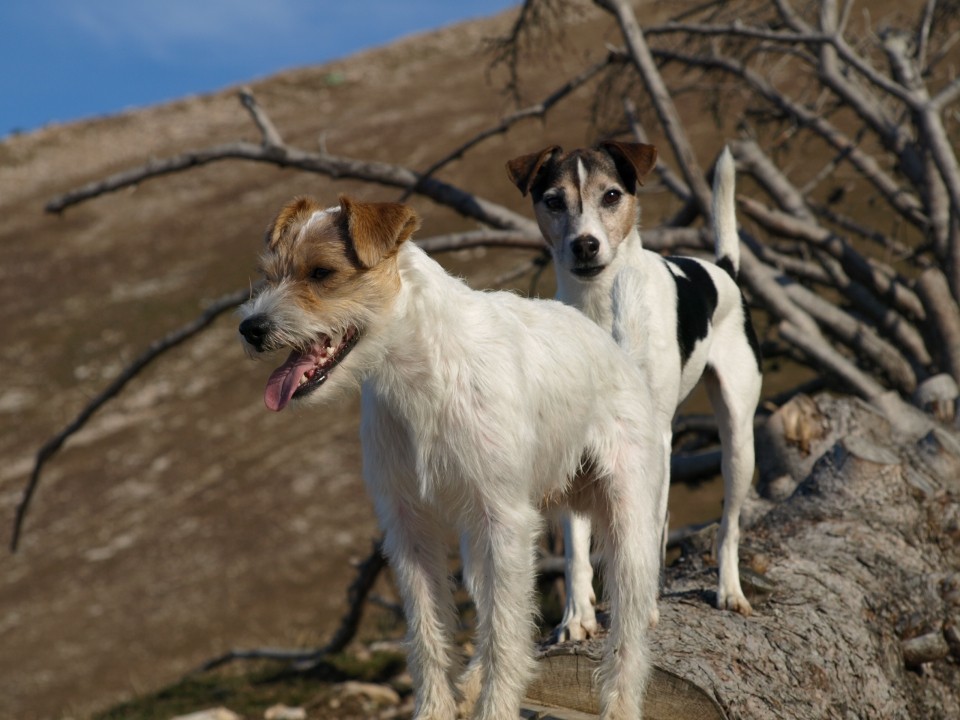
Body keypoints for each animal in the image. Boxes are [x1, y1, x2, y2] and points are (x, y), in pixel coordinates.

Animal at [238, 195, 668, 720]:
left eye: (321, 273)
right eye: (268, 274)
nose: (250, 329)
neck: (418, 376)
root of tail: (618, 353)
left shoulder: (505, 521)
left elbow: (506, 635)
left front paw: (496, 709)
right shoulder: (409, 531)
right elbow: (429, 634)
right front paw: (437, 709)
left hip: (626, 526)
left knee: (628, 635)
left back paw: (619, 702)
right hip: (476, 544)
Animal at [506, 142, 760, 640]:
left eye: (611, 195)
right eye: (553, 200)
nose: (585, 244)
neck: (602, 305)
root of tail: (724, 271)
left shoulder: (652, 434)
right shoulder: (577, 441)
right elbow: (576, 546)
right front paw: (576, 616)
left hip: (738, 440)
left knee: (728, 524)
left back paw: (728, 589)